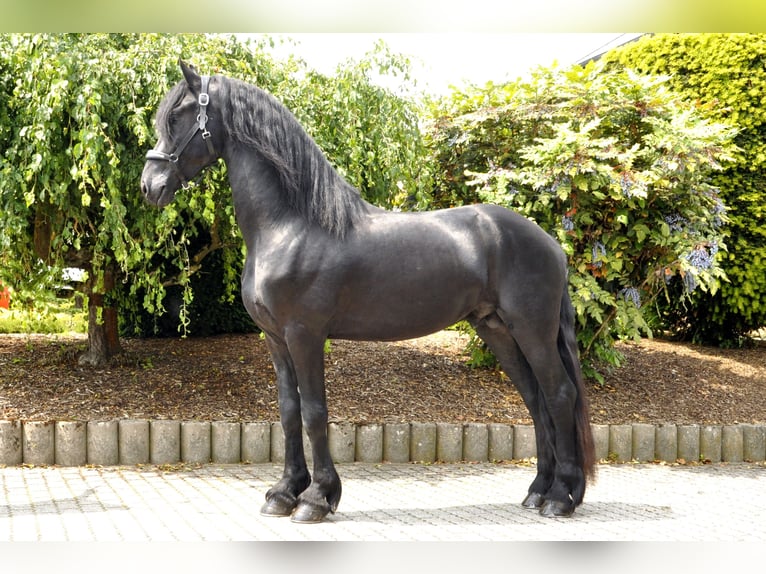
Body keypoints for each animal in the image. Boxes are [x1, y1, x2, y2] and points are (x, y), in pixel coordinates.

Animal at [141, 60, 596, 524]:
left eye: (177, 117)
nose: (149, 186)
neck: (290, 226)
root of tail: (550, 243)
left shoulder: (304, 335)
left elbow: (314, 412)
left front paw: (316, 498)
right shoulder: (275, 339)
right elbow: (288, 412)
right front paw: (283, 493)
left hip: (532, 330)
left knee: (559, 396)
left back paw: (560, 498)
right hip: (498, 330)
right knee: (536, 401)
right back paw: (538, 492)